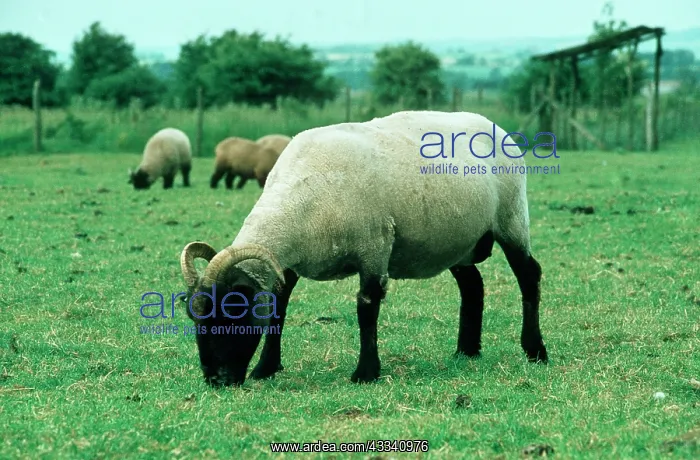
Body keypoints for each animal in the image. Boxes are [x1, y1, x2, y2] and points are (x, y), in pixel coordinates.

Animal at [180, 110, 549, 387]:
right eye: (194, 316)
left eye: (233, 311)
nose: (215, 380)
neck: (301, 200)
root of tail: (494, 125)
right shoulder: (284, 265)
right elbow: (278, 309)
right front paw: (265, 369)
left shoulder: (374, 248)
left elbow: (366, 308)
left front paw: (366, 373)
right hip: (457, 242)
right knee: (472, 286)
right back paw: (466, 352)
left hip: (512, 220)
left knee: (529, 275)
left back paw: (535, 351)